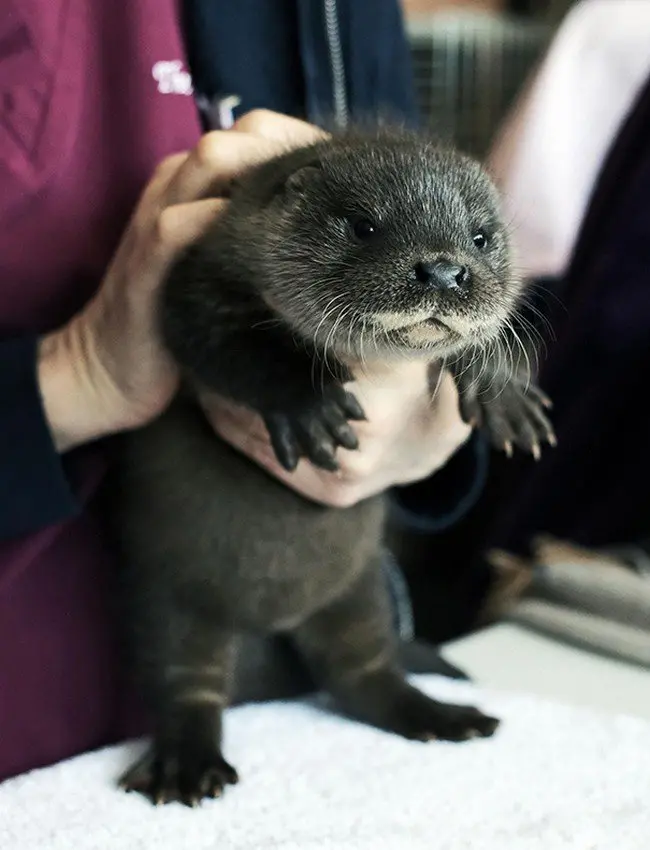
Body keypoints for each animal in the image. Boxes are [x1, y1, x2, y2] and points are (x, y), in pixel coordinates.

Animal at [107, 129, 552, 804]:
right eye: (365, 227)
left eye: (480, 237)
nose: (444, 270)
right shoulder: (193, 277)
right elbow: (222, 339)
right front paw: (306, 405)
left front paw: (506, 394)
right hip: (170, 604)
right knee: (187, 686)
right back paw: (186, 764)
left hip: (358, 595)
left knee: (364, 675)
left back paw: (444, 717)